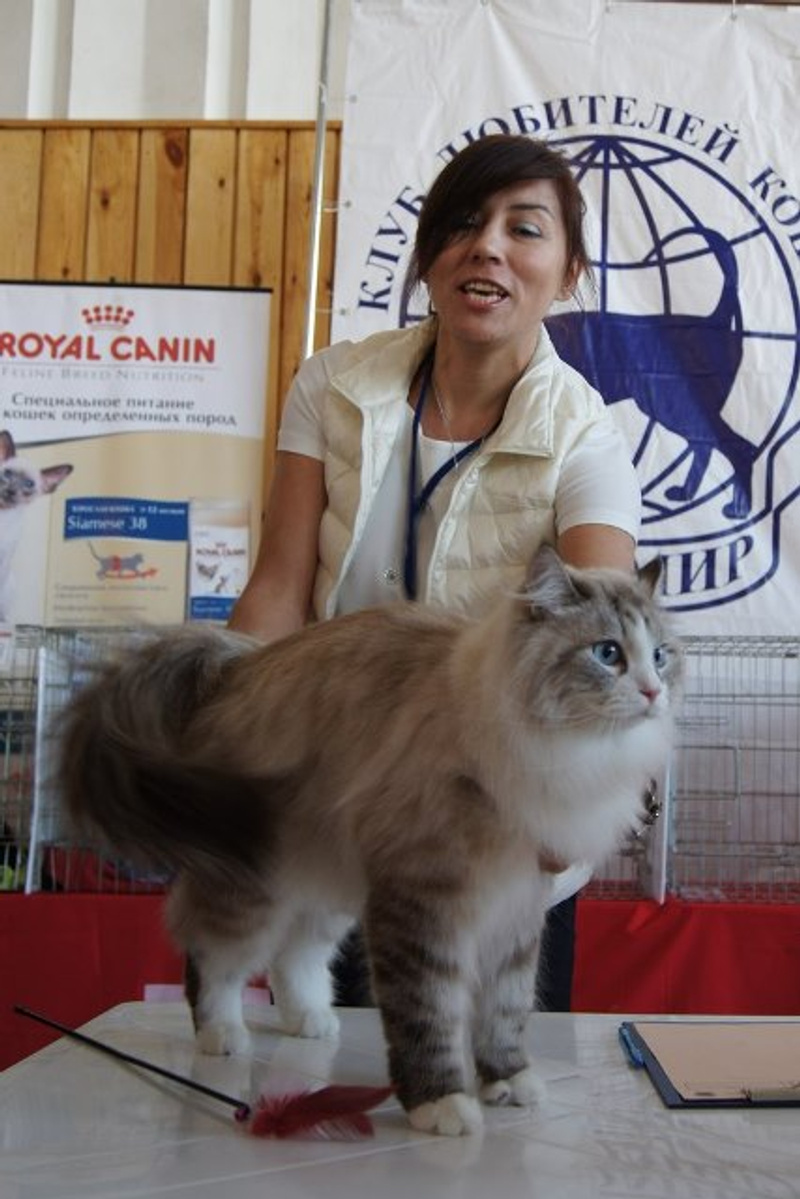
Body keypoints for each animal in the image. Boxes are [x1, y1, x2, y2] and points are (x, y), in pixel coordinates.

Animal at [57, 545, 682, 1136]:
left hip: (328, 885)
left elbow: (505, 1010)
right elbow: (428, 1012)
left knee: (294, 958)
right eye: (608, 654)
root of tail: (239, 666)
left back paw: (310, 1022)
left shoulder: (516, 908)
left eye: (660, 655)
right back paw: (223, 1034)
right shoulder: (422, 900)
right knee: (212, 957)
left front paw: (507, 1081)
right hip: (253, 892)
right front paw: (441, 1104)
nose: (654, 692)